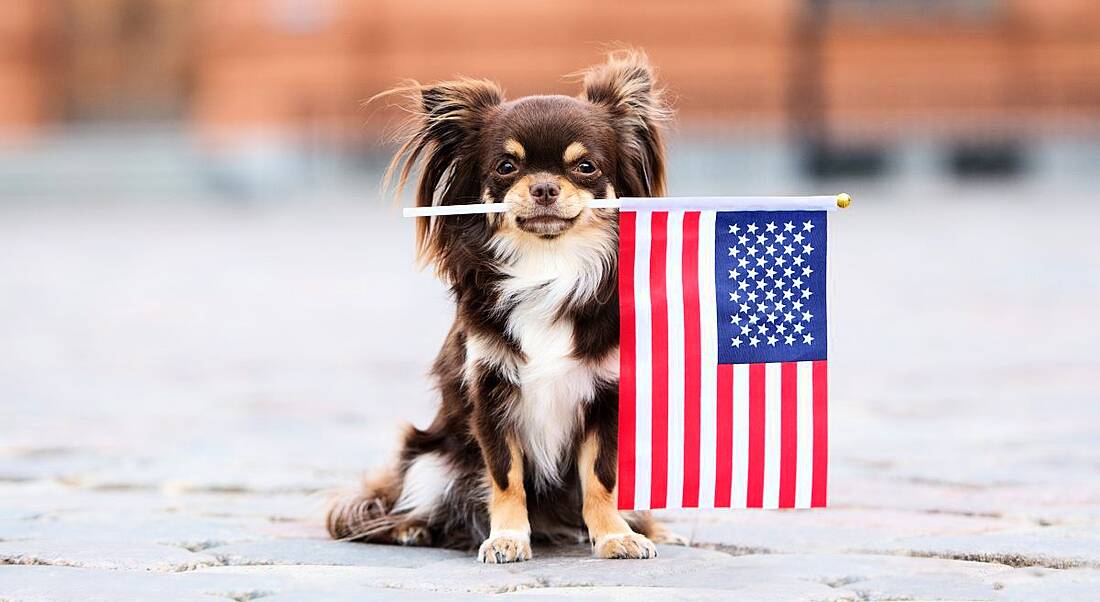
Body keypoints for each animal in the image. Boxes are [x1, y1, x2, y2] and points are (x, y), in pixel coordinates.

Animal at [321, 49, 673, 563]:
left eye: (586, 167)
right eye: (507, 167)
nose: (543, 187)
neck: (549, 266)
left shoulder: (606, 398)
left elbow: (600, 479)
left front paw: (614, 536)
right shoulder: (489, 395)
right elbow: (506, 478)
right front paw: (506, 538)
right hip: (431, 458)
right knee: (413, 501)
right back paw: (413, 528)